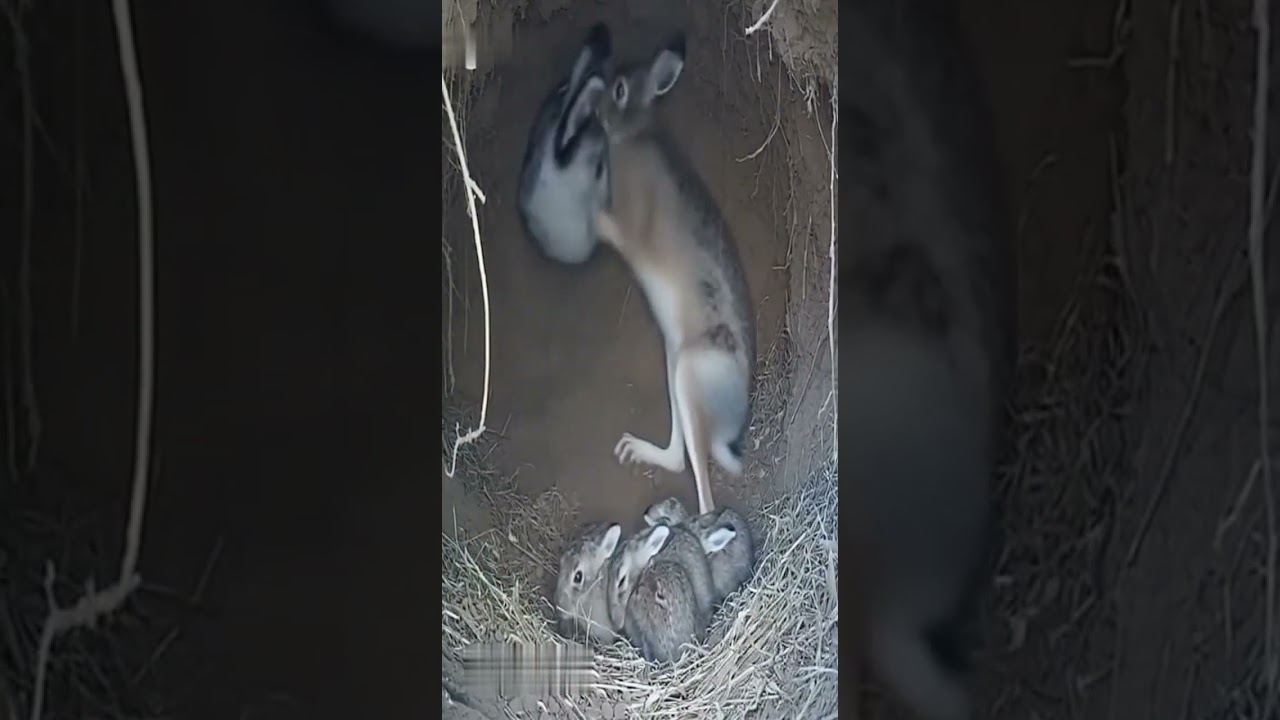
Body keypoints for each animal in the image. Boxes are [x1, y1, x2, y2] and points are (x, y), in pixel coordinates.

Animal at [591, 34, 756, 517]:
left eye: (621, 90)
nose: (596, 109)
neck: (635, 134)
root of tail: (730, 425)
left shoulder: (629, 221)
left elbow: (608, 224)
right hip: (674, 364)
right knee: (679, 456)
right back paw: (638, 450)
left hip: (692, 376)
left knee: (700, 484)